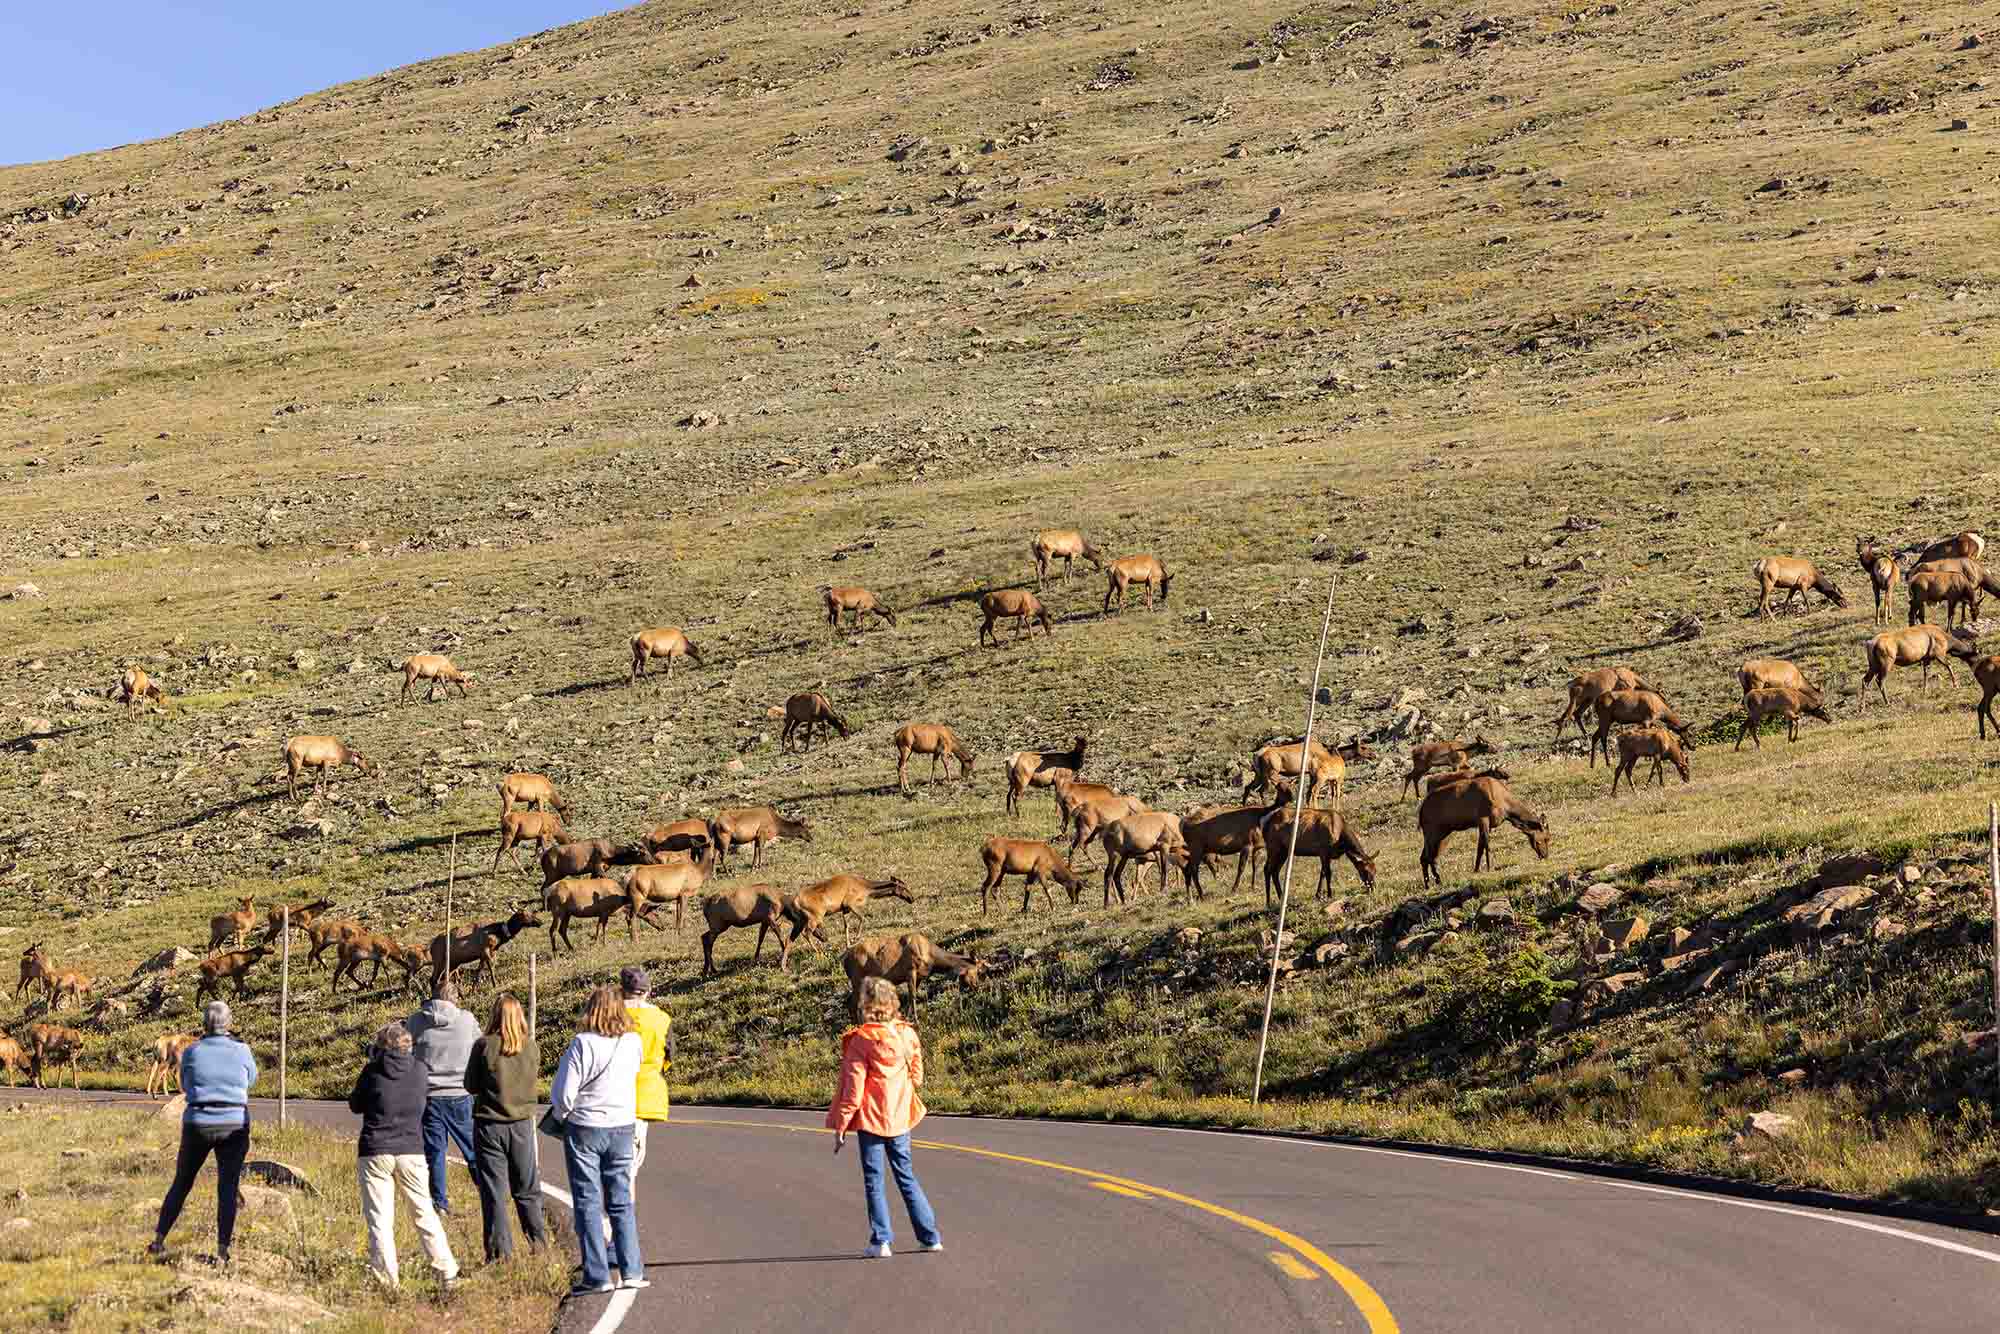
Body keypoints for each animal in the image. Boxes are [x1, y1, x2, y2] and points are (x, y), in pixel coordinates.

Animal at [786, 874, 916, 949]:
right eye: (904, 887)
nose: (912, 898)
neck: (868, 889)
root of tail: (795, 901)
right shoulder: (850, 903)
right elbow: (862, 918)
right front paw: (855, 939)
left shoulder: (845, 909)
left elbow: (846, 926)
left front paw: (848, 944)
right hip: (815, 916)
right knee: (806, 933)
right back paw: (817, 952)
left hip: (803, 919)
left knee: (792, 938)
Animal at [842, 934, 987, 1020]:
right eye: (977, 970)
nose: (977, 987)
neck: (932, 960)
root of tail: (844, 960)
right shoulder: (910, 970)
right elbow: (912, 996)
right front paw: (916, 1020)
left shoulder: (920, 976)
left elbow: (913, 996)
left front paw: (908, 1016)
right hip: (857, 979)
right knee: (853, 1004)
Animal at [1417, 774, 1551, 888]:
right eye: (1546, 838)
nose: (1545, 855)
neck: (1507, 809)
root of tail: (1421, 810)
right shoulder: (1483, 817)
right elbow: (1486, 844)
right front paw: (1489, 867)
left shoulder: (1488, 823)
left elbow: (1480, 846)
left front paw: (1476, 869)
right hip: (1432, 830)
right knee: (1429, 856)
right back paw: (1437, 880)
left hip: (1444, 833)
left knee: (1425, 857)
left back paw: (1429, 884)